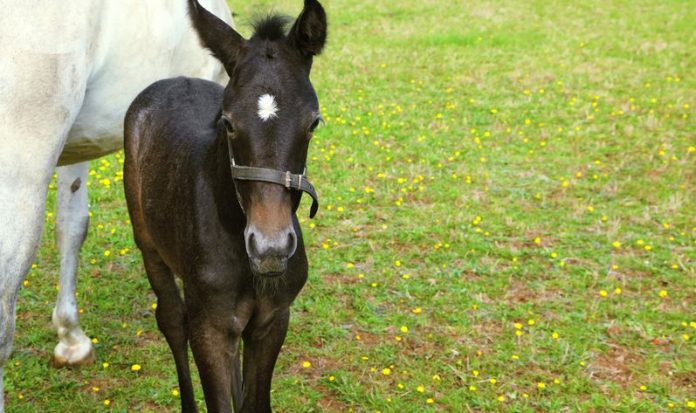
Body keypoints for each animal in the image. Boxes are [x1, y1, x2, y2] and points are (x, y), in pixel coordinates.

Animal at [121, 1, 326, 410]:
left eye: (313, 123)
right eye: (229, 123)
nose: (270, 248)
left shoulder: (273, 321)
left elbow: (255, 401)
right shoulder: (209, 328)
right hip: (148, 243)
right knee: (171, 318)